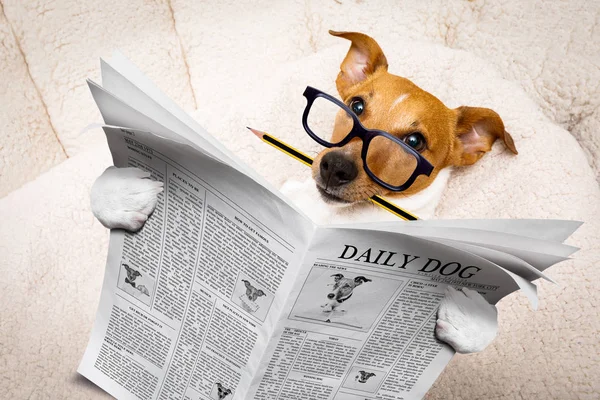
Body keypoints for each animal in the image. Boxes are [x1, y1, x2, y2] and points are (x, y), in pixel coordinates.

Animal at [90, 32, 502, 356]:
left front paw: (466, 317)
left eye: (415, 141)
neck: (329, 216)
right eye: (356, 105)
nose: (336, 167)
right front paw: (122, 194)